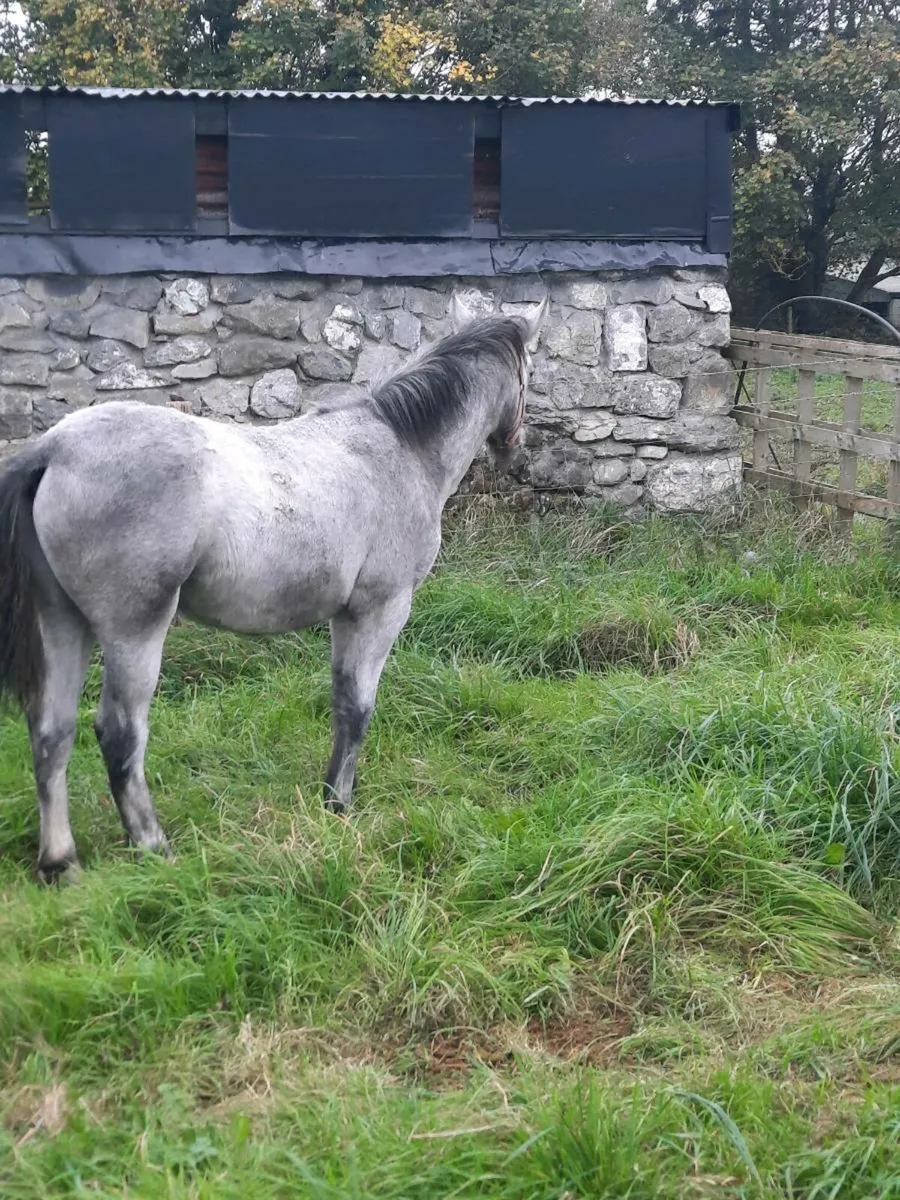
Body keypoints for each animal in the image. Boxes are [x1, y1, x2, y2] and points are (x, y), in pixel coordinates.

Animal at [0, 295, 547, 882]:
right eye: (529, 370)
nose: (518, 450)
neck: (400, 447)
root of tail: (54, 449)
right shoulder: (380, 610)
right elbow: (359, 708)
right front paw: (338, 804)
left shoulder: (346, 616)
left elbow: (341, 702)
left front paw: (332, 795)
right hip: (134, 631)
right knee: (119, 733)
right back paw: (153, 846)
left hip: (62, 623)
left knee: (51, 732)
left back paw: (60, 863)